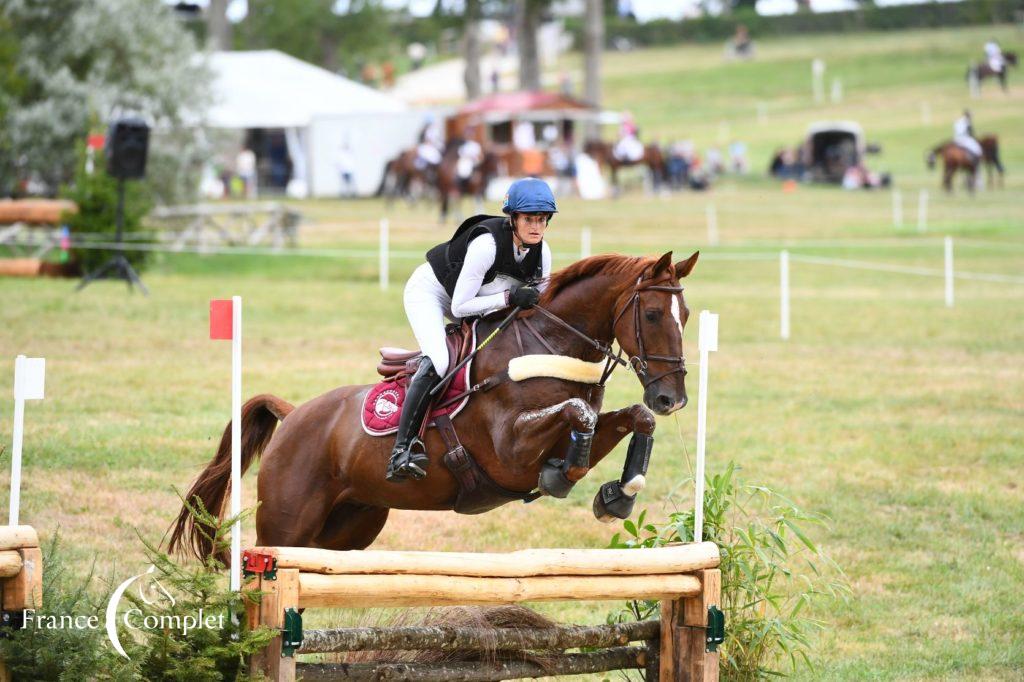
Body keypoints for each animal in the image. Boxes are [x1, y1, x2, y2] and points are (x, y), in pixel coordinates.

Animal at [169, 251, 696, 561]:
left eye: (686, 315)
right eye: (652, 314)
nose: (672, 398)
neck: (550, 342)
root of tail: (295, 413)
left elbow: (631, 419)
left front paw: (618, 494)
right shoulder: (509, 453)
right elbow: (576, 416)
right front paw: (563, 476)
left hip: (349, 526)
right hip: (285, 526)